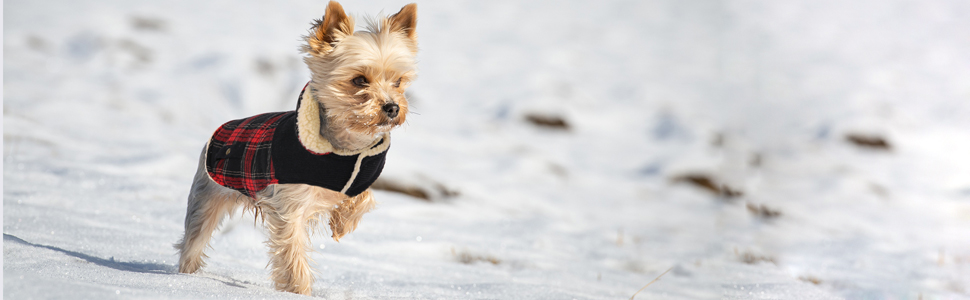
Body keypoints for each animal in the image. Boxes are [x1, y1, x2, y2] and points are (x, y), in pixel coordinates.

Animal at [175, 1, 416, 294]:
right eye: (359, 80)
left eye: (398, 81)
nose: (392, 107)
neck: (345, 149)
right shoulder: (288, 205)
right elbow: (292, 253)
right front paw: (299, 291)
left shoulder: (357, 177)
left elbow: (363, 197)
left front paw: (341, 224)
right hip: (207, 197)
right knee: (194, 240)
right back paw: (188, 278)